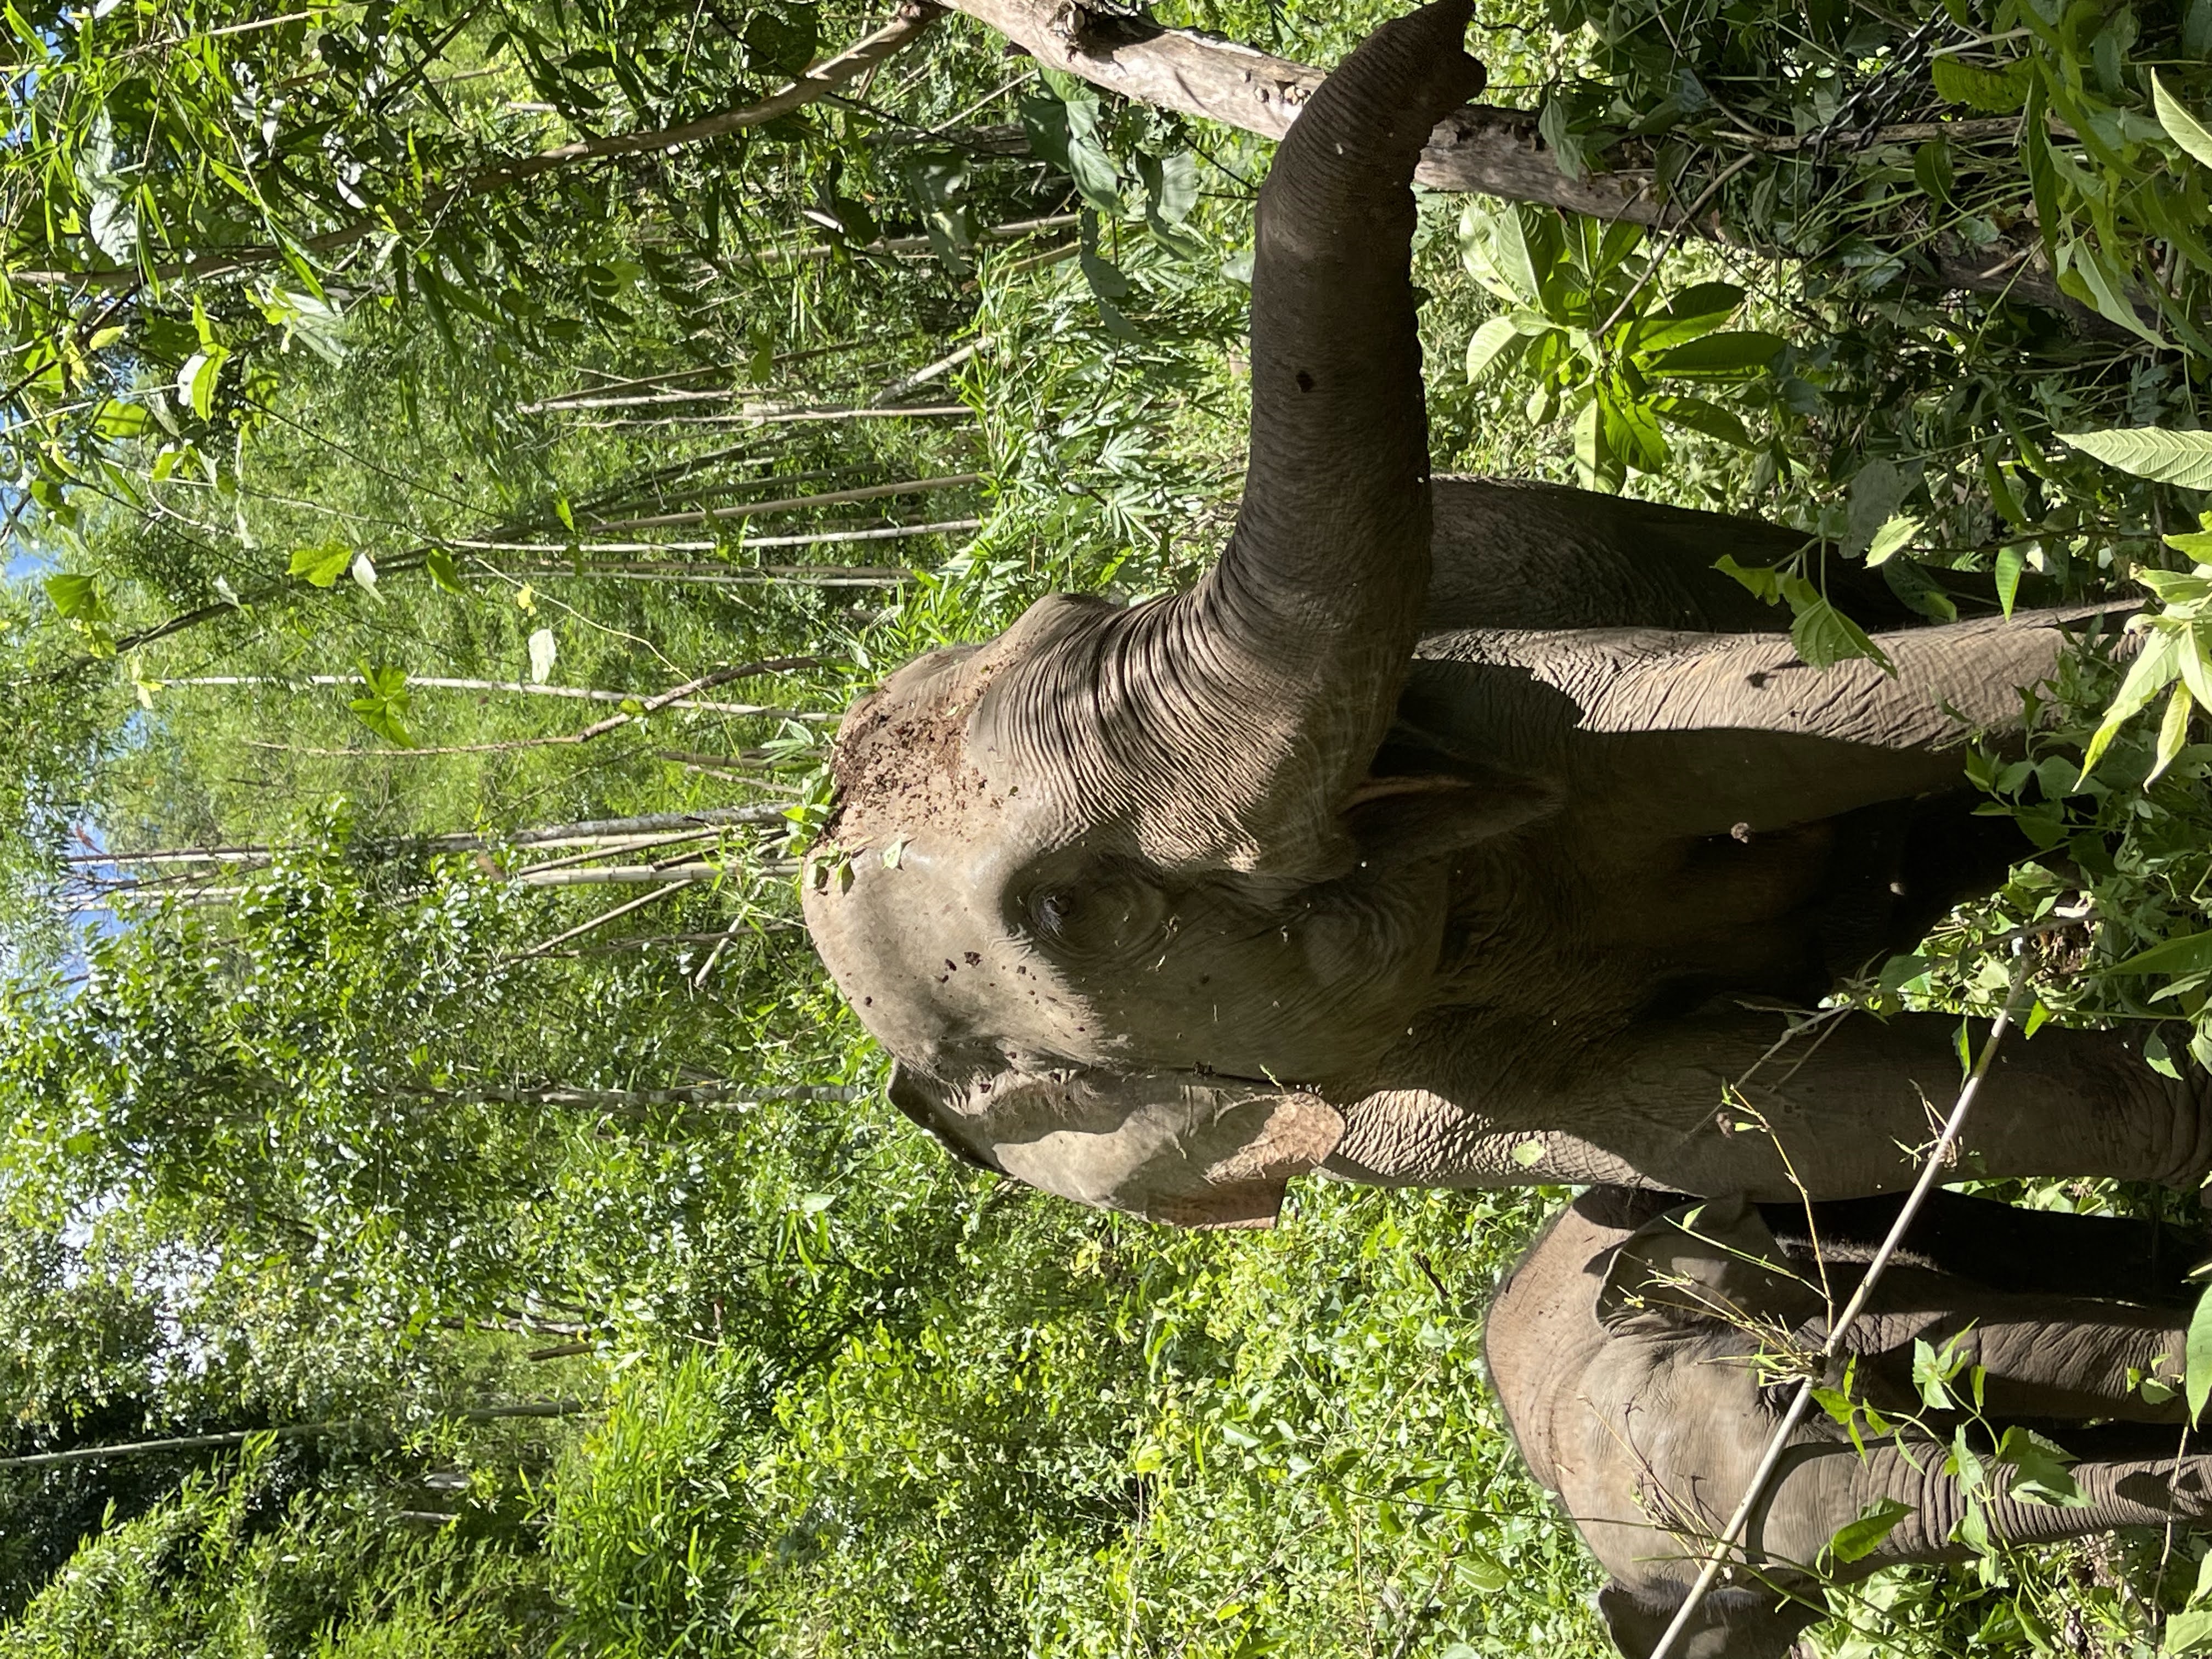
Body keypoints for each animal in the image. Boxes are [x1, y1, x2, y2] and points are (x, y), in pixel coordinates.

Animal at [801, 0, 2211, 1227]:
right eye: (1070, 916)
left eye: (1074, 606)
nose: (1474, 67)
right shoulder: (1409, 1118)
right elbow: (1757, 1122)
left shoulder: (1492, 682)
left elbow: (1754, 712)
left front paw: (2155, 653)